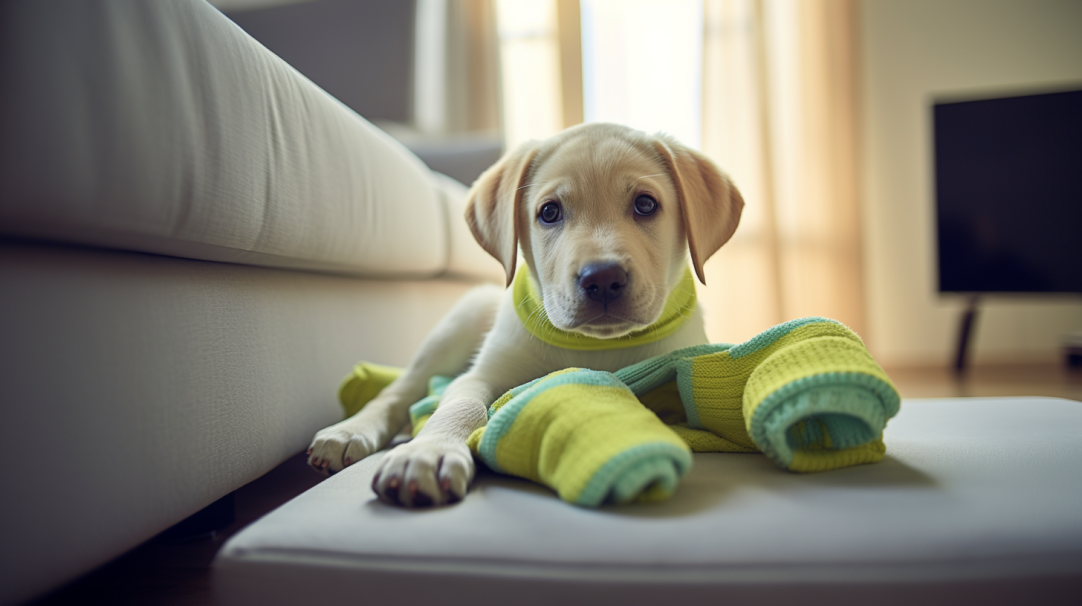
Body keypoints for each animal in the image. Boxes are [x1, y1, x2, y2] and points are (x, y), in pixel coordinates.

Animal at [309, 123, 740, 506]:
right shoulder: (482, 374)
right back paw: (348, 432)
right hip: (458, 324)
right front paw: (427, 453)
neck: (593, 346)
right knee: (401, 391)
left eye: (646, 205)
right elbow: (459, 403)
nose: (602, 278)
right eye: (549, 212)